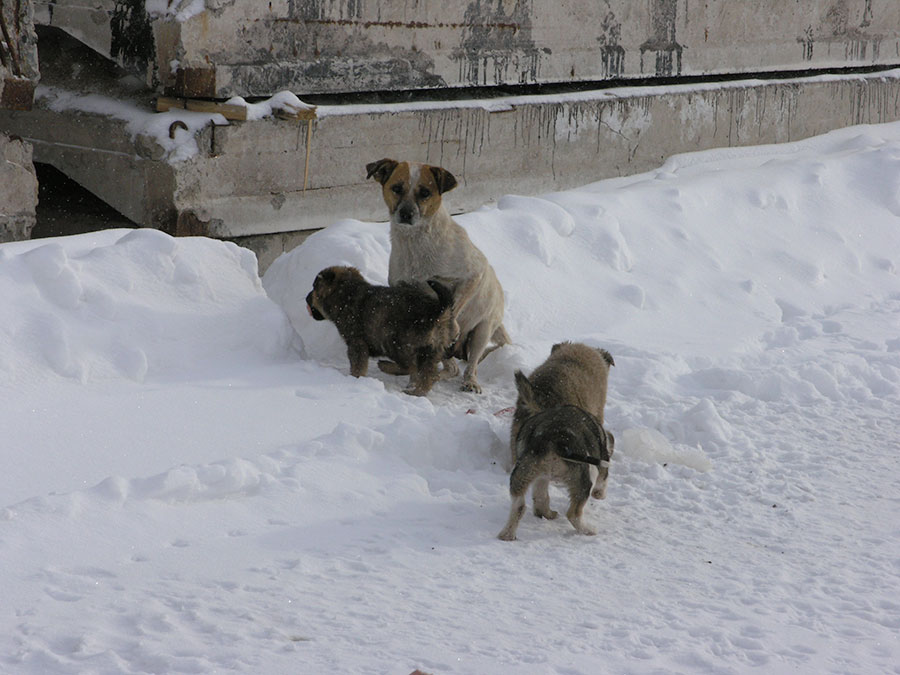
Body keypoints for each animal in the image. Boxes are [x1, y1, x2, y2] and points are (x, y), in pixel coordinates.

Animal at [308, 266, 464, 396]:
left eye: (314, 288)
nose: (306, 298)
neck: (345, 294)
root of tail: (439, 311)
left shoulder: (356, 343)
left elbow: (357, 365)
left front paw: (354, 379)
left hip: (399, 343)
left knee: (414, 368)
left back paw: (391, 371)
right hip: (430, 351)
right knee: (427, 373)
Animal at [364, 156, 506, 394]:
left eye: (424, 192)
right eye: (396, 188)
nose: (406, 214)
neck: (416, 244)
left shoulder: (473, 274)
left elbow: (454, 307)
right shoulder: (404, 289)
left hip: (483, 330)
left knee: (469, 365)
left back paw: (469, 381)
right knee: (451, 367)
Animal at [496, 404, 616, 540]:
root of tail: (555, 440)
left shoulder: (540, 477)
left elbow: (540, 496)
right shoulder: (603, 462)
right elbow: (603, 480)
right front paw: (600, 494)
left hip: (524, 472)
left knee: (522, 505)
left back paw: (507, 534)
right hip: (587, 475)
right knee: (573, 514)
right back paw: (589, 530)